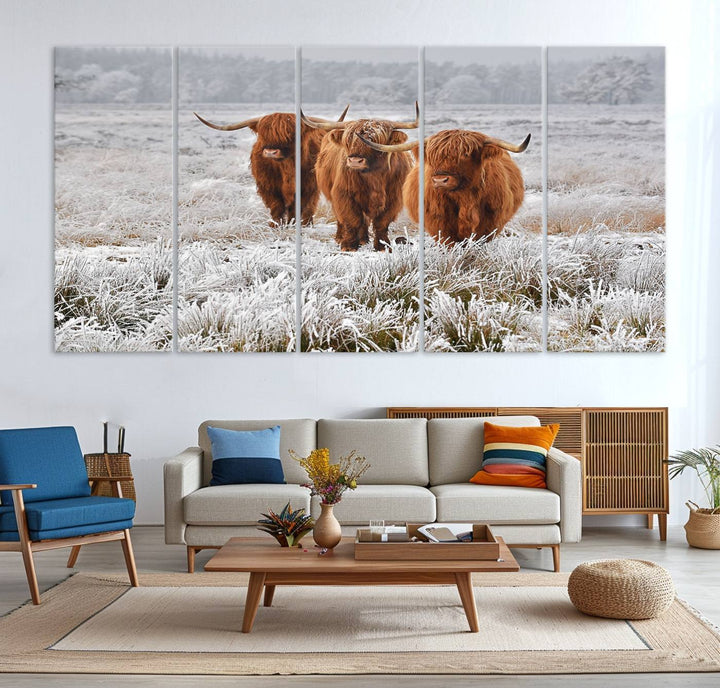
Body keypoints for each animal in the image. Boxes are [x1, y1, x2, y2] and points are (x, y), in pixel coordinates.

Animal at [194, 107, 346, 226]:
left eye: (291, 133)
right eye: (263, 134)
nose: (270, 152)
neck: (287, 168)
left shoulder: (307, 186)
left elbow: (299, 207)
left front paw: (294, 224)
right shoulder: (268, 186)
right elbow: (276, 206)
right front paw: (276, 225)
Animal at [358, 127, 528, 243]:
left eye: (465, 154)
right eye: (433, 156)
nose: (440, 180)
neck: (465, 199)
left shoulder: (490, 224)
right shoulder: (439, 224)